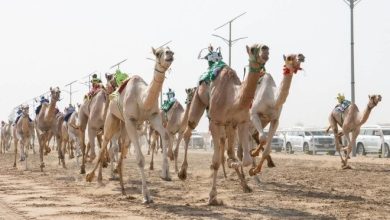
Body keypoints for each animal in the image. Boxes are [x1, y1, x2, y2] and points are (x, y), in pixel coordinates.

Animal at [88, 46, 175, 203]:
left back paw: (123, 188)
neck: (142, 98)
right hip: (112, 119)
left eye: (169, 50)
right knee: (105, 143)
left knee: (120, 149)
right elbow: (140, 159)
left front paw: (166, 174)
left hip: (123, 127)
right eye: (158, 53)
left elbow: (165, 135)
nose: (169, 54)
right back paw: (92, 177)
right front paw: (146, 196)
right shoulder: (130, 120)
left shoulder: (153, 116)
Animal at [204, 43, 272, 205]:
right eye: (253, 48)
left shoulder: (241, 122)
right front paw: (212, 196)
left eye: (265, 47)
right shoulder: (215, 122)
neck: (232, 99)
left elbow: (245, 159)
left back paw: (245, 185)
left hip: (231, 126)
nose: (265, 49)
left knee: (231, 151)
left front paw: (245, 169)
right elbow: (216, 160)